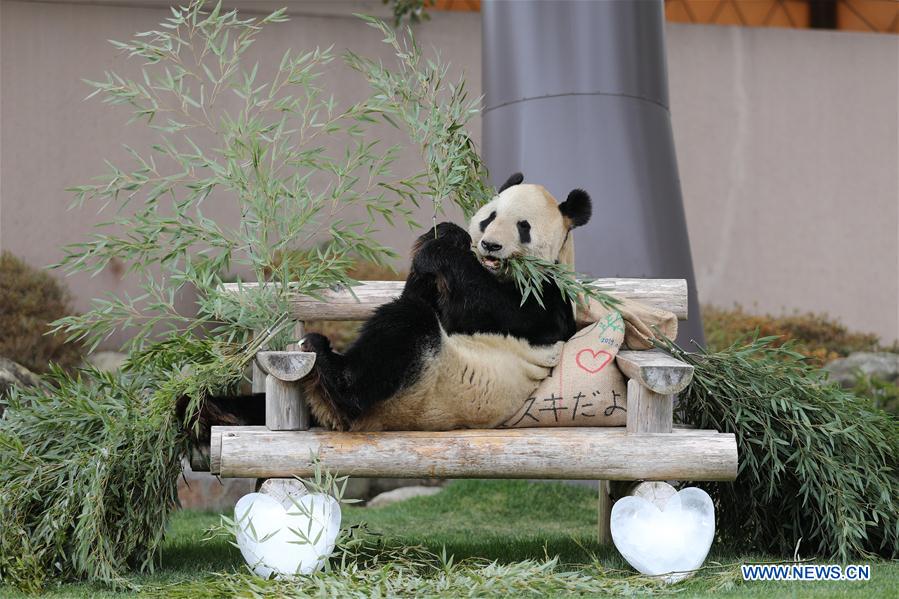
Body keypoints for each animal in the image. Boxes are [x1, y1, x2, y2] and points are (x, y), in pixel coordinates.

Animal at [297, 173, 593, 431]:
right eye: (490, 217)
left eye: (524, 227)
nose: (491, 245)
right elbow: (428, 293)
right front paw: (446, 233)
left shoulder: (549, 295)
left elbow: (514, 313)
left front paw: (437, 250)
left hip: (425, 389)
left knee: (406, 323)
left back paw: (332, 374)